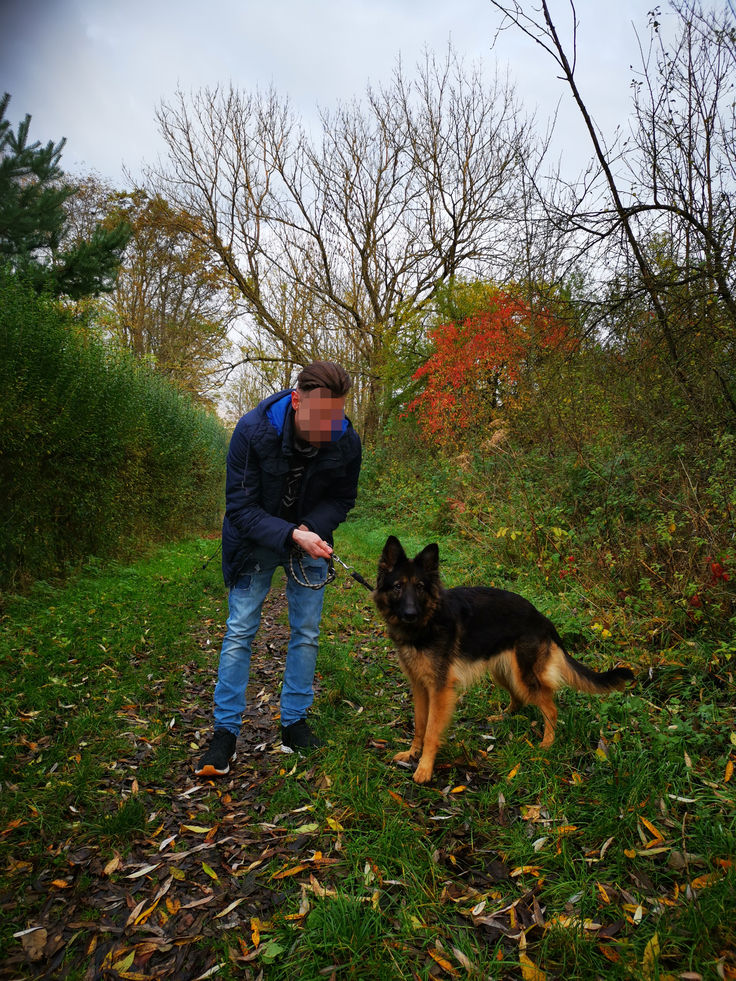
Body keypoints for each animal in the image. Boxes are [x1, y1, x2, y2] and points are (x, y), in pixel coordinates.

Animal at [374, 536, 632, 780]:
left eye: (419, 587)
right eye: (397, 586)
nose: (410, 614)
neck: (426, 622)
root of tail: (541, 617)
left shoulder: (440, 690)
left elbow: (431, 731)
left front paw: (425, 768)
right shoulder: (419, 685)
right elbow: (419, 724)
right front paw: (412, 754)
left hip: (522, 676)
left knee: (551, 708)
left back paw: (546, 744)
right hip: (503, 672)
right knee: (518, 700)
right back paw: (504, 717)